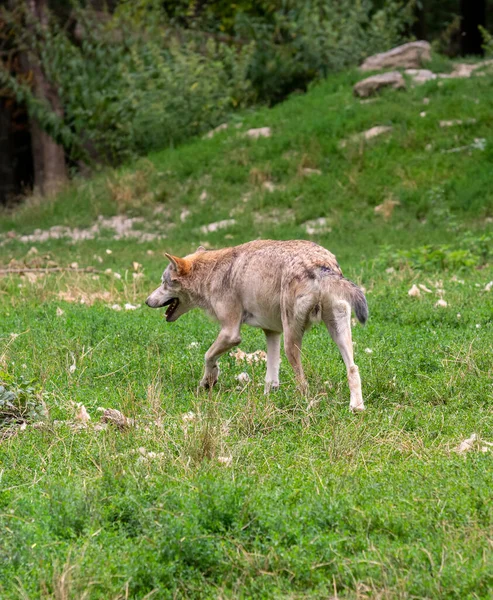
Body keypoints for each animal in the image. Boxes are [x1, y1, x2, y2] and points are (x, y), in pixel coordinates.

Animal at [144, 239, 368, 412]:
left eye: (163, 282)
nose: (146, 301)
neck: (212, 273)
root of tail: (322, 264)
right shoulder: (272, 332)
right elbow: (271, 377)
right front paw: (268, 398)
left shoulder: (231, 333)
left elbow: (208, 356)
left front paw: (208, 381)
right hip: (336, 333)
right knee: (353, 368)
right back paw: (356, 407)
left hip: (291, 342)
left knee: (303, 382)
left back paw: (304, 405)